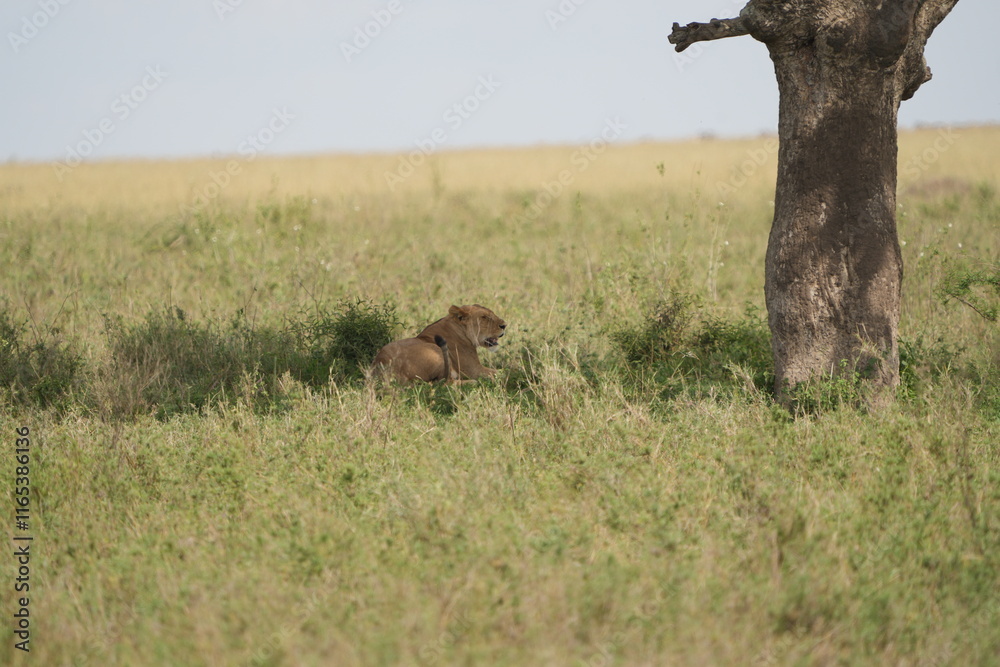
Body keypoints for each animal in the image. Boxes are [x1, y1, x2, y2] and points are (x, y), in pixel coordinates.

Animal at [371, 304, 507, 383]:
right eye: (484, 317)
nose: (504, 325)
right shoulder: (473, 370)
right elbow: (501, 372)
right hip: (434, 351)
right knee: (445, 382)